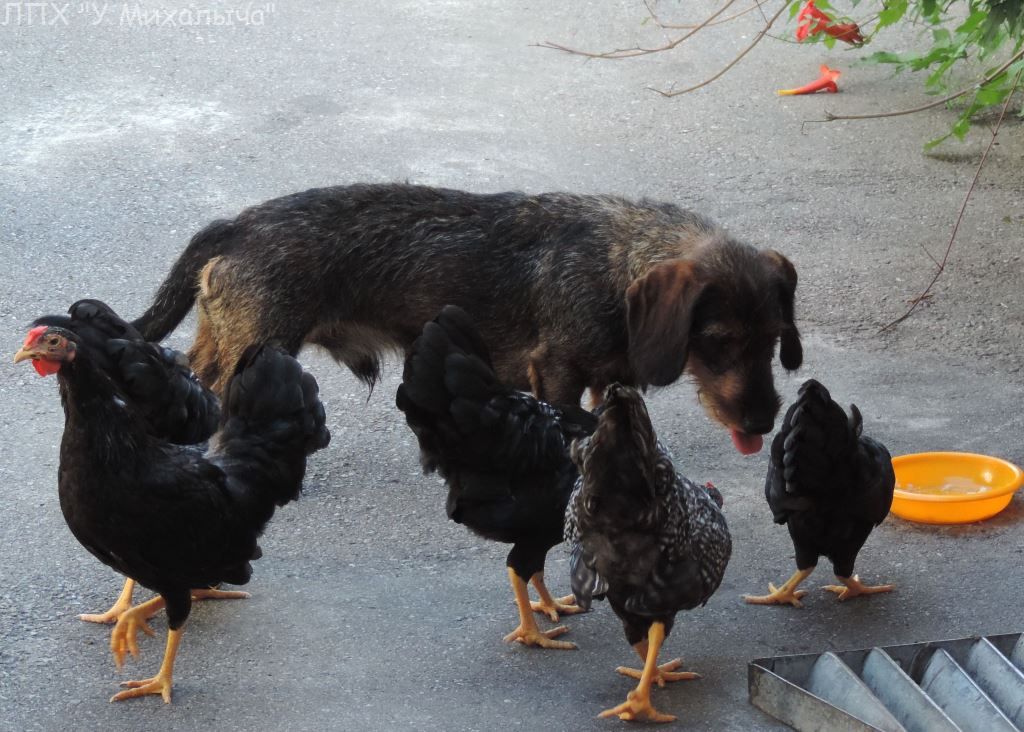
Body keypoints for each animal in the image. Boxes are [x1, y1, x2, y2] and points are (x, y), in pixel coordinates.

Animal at [134, 184, 798, 452]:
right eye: (718, 340)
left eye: (773, 341)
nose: (763, 421)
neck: (617, 257)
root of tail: (236, 223)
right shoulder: (556, 370)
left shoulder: (610, 378)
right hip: (261, 344)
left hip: (225, 338)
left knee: (194, 372)